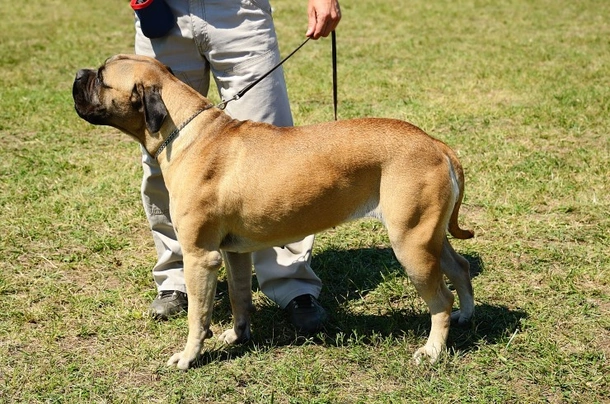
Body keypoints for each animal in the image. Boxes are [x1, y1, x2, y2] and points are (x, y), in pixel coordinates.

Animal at [71, 53, 472, 370]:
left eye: (102, 78)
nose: (77, 73)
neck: (184, 132)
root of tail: (436, 144)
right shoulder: (232, 253)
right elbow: (239, 298)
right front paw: (237, 336)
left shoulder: (199, 256)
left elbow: (197, 315)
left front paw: (188, 356)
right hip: (429, 237)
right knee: (461, 268)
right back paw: (465, 316)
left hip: (411, 245)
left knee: (441, 299)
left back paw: (433, 350)